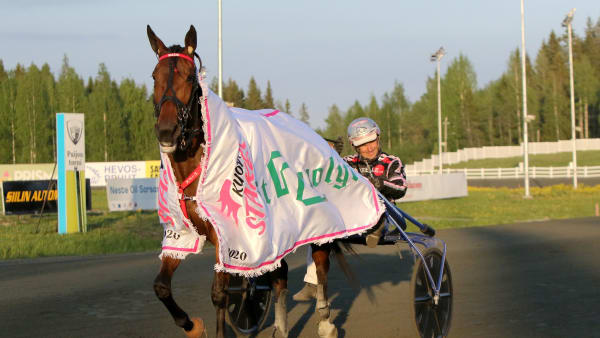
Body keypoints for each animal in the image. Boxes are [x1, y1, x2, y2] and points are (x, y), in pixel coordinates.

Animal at [145, 24, 346, 338]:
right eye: (155, 76)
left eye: (189, 77)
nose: (167, 131)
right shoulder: (182, 230)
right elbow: (161, 287)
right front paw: (193, 326)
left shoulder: (226, 234)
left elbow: (219, 294)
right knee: (280, 274)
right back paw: (281, 327)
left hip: (319, 221)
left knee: (321, 263)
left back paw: (325, 321)